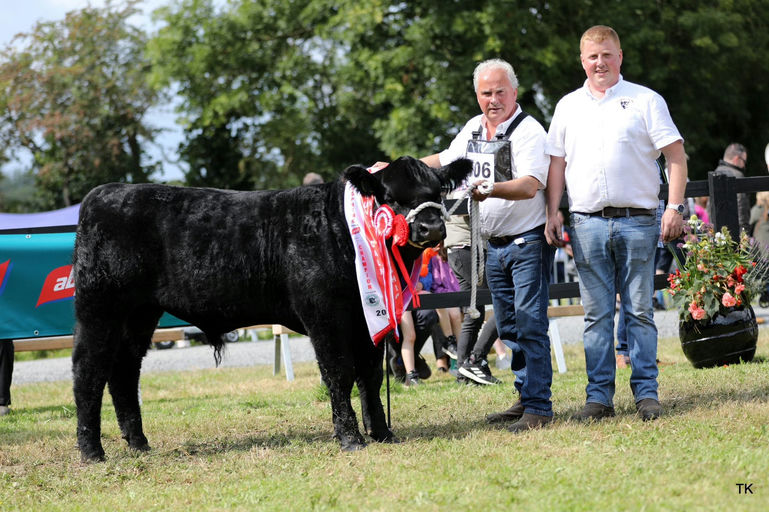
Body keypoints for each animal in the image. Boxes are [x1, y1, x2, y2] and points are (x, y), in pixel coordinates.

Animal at [71, 156, 472, 462]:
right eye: (390, 195)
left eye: (437, 192)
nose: (432, 227)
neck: (339, 230)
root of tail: (103, 193)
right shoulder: (325, 315)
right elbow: (339, 373)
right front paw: (350, 437)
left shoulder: (366, 320)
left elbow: (370, 375)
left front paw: (382, 432)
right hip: (100, 307)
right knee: (88, 370)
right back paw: (92, 451)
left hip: (139, 314)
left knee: (124, 371)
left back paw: (139, 443)